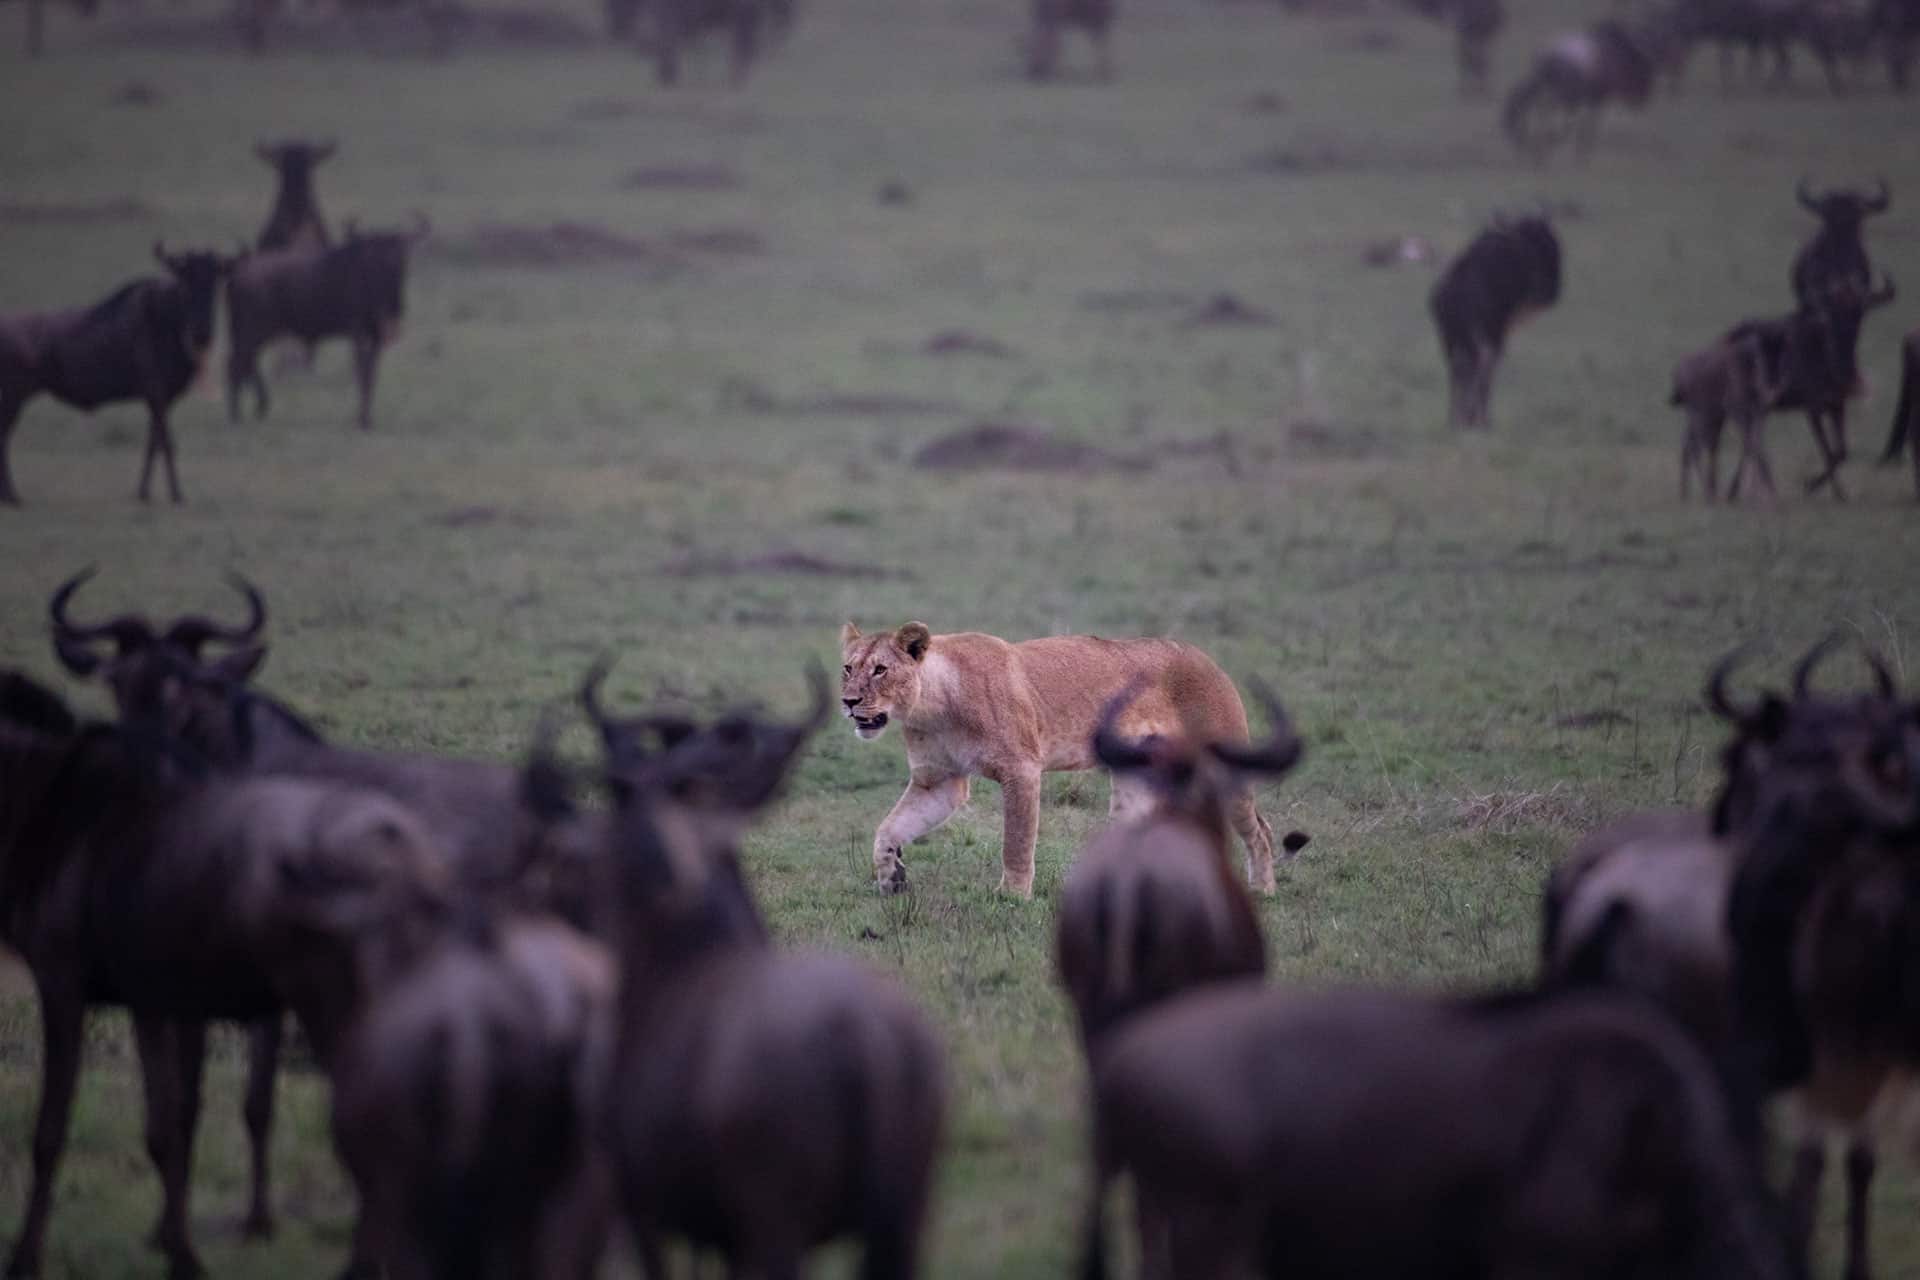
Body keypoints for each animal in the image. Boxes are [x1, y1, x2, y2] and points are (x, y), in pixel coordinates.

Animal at [0, 245, 224, 506]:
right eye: (185, 281)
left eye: (215, 281)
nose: (203, 333)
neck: (168, 321)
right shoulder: (156, 392)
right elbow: (167, 444)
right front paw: (176, 495)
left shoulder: (159, 400)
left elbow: (153, 443)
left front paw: (144, 493)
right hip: (13, 398)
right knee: (3, 438)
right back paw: (12, 496)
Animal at [1428, 213, 1559, 427]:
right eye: (1542, 243)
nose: (1553, 292)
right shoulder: (1496, 329)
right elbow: (1489, 365)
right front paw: (1479, 418)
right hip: (1479, 334)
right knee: (1480, 365)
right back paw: (1476, 418)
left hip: (1452, 336)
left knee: (1459, 368)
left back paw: (1456, 418)